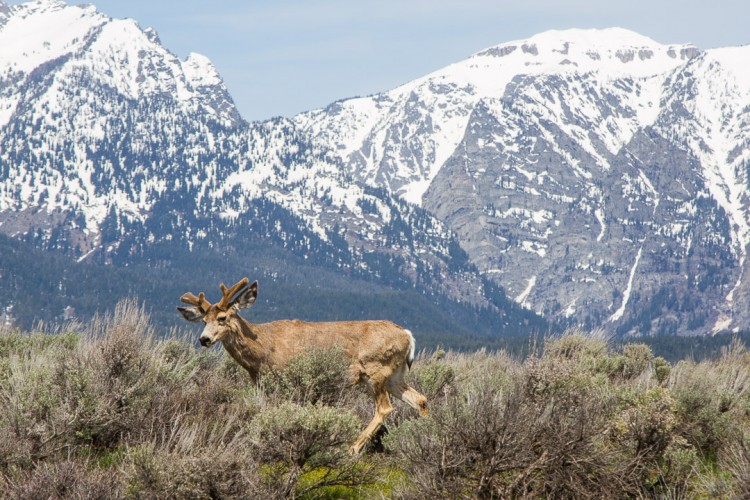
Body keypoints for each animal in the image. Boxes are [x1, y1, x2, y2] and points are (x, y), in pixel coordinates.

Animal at [178, 278, 428, 454]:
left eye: (222, 318)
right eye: (204, 320)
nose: (204, 339)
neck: (262, 348)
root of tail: (407, 334)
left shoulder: (287, 378)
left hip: (376, 369)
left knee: (385, 408)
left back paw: (353, 448)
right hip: (395, 375)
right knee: (420, 399)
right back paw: (425, 435)